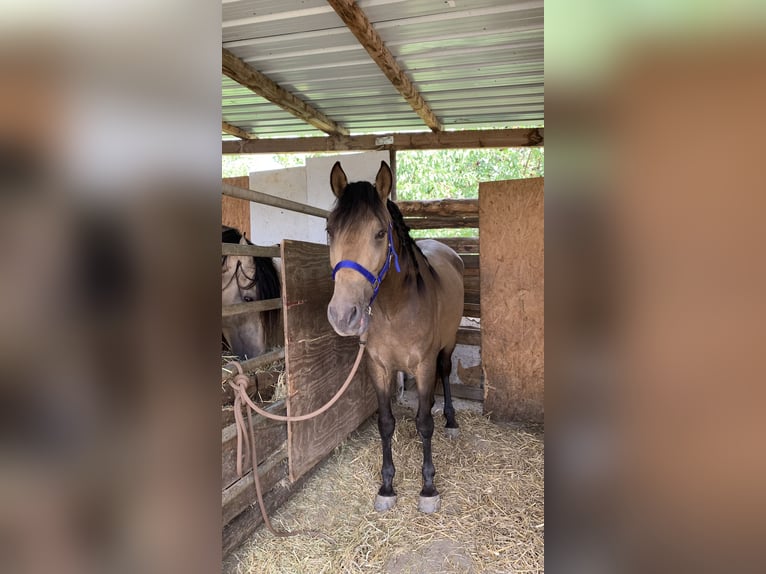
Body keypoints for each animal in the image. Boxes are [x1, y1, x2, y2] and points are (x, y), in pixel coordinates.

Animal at [328, 162, 464, 516]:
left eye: (379, 233)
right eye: (330, 231)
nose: (343, 315)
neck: (395, 308)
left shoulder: (424, 365)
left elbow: (424, 423)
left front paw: (428, 488)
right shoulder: (378, 367)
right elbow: (386, 423)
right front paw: (387, 486)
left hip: (448, 344)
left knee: (445, 374)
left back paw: (451, 421)